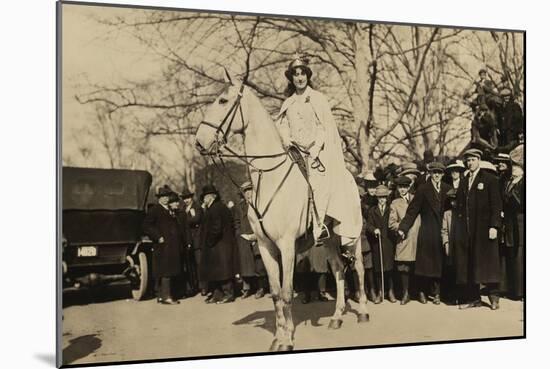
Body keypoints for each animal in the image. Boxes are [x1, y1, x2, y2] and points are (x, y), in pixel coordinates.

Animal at [195, 71, 370, 350]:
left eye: (222, 101)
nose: (199, 141)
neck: (269, 176)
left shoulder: (287, 245)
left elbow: (287, 293)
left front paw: (287, 340)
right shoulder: (266, 246)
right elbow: (276, 293)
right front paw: (278, 337)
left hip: (350, 234)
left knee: (359, 268)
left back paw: (362, 311)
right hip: (329, 239)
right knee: (338, 269)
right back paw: (336, 317)